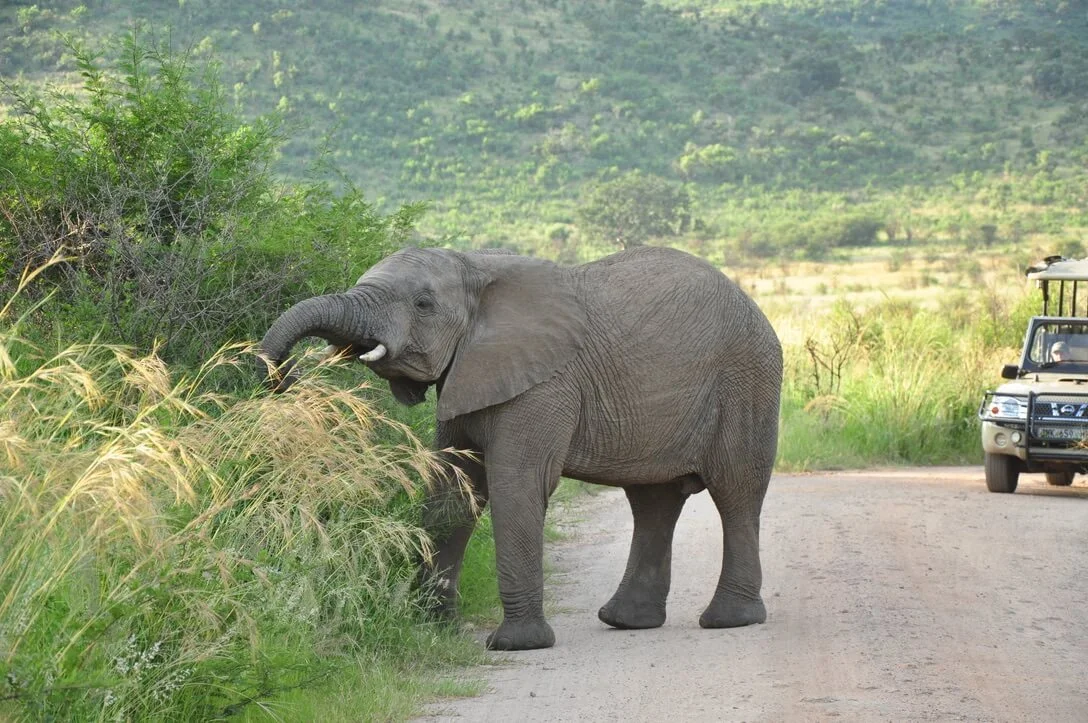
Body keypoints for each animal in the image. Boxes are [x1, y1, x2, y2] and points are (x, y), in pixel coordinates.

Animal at [258, 245, 782, 651]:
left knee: (736, 492)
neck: (475, 266)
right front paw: (433, 628)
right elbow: (452, 493)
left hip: (747, 380)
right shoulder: (468, 373)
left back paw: (728, 620)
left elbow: (517, 487)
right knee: (653, 501)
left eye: (423, 304)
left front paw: (515, 645)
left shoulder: (544, 384)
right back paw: (625, 621)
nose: (289, 378)